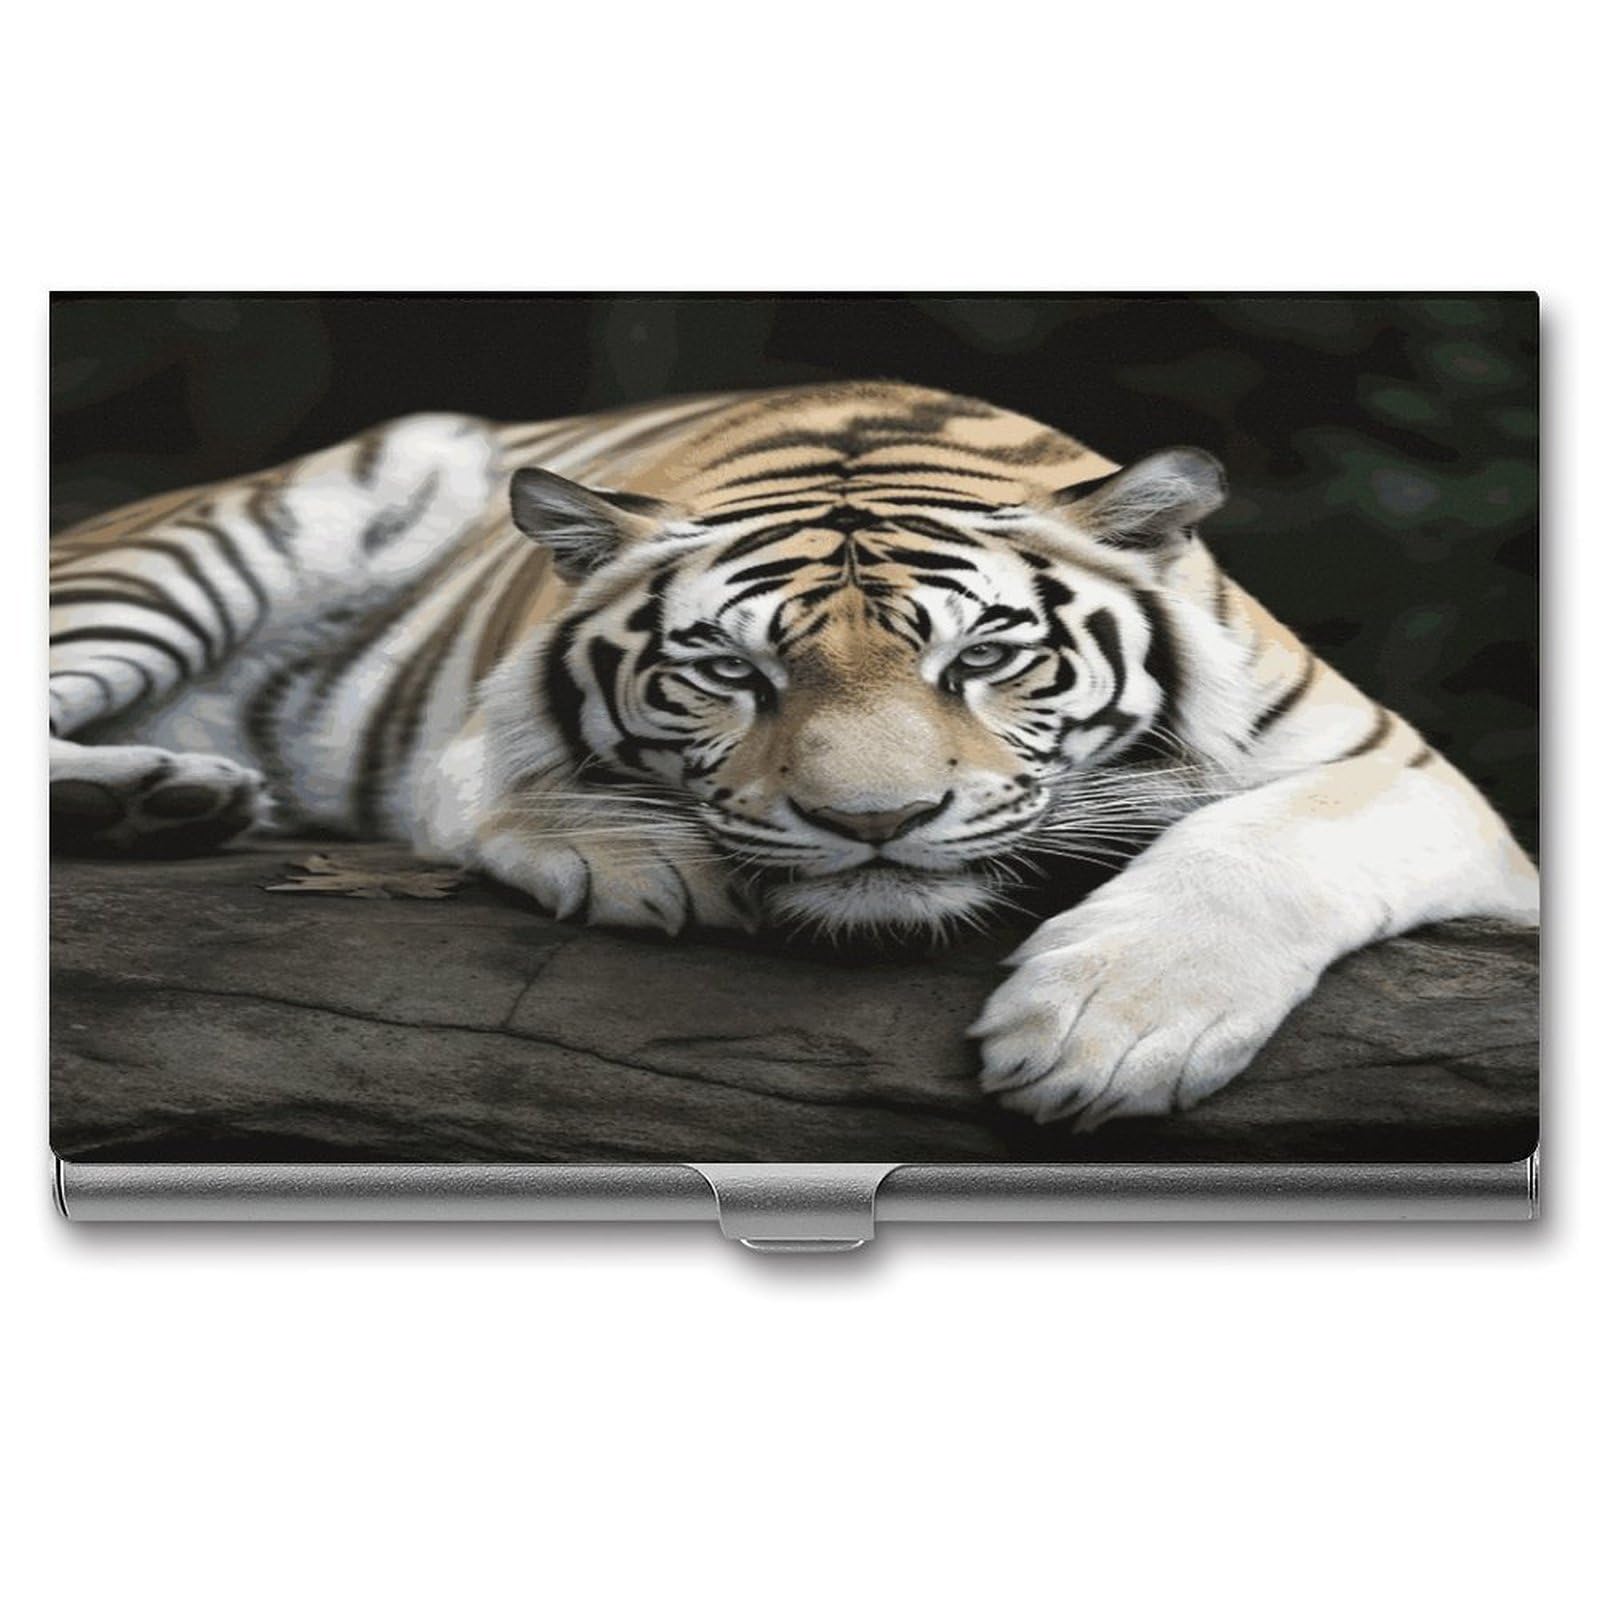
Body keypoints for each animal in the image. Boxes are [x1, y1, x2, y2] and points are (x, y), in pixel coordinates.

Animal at [49, 380, 1539, 1129]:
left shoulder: (1405, 769)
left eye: (980, 659)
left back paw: (169, 798)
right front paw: (645, 861)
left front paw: (1107, 1033)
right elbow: (524, 784)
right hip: (204, 545)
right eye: (730, 672)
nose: (874, 822)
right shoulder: (474, 727)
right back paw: (153, 800)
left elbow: (1271, 840)